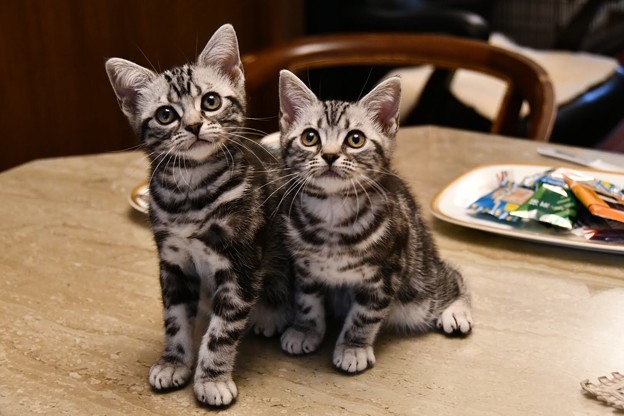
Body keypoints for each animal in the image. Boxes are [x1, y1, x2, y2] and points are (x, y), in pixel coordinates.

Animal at [105, 24, 290, 404]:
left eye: (211, 101)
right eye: (165, 115)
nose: (192, 126)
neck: (192, 193)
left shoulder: (240, 264)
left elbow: (223, 329)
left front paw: (212, 379)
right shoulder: (173, 262)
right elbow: (174, 319)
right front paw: (173, 362)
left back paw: (270, 313)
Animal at [278, 70, 472, 372]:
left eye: (355, 139)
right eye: (309, 137)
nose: (330, 155)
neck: (332, 212)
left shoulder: (386, 274)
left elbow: (364, 316)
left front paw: (353, 348)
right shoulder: (304, 268)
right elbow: (307, 301)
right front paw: (305, 329)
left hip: (419, 290)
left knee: (454, 275)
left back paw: (457, 311)